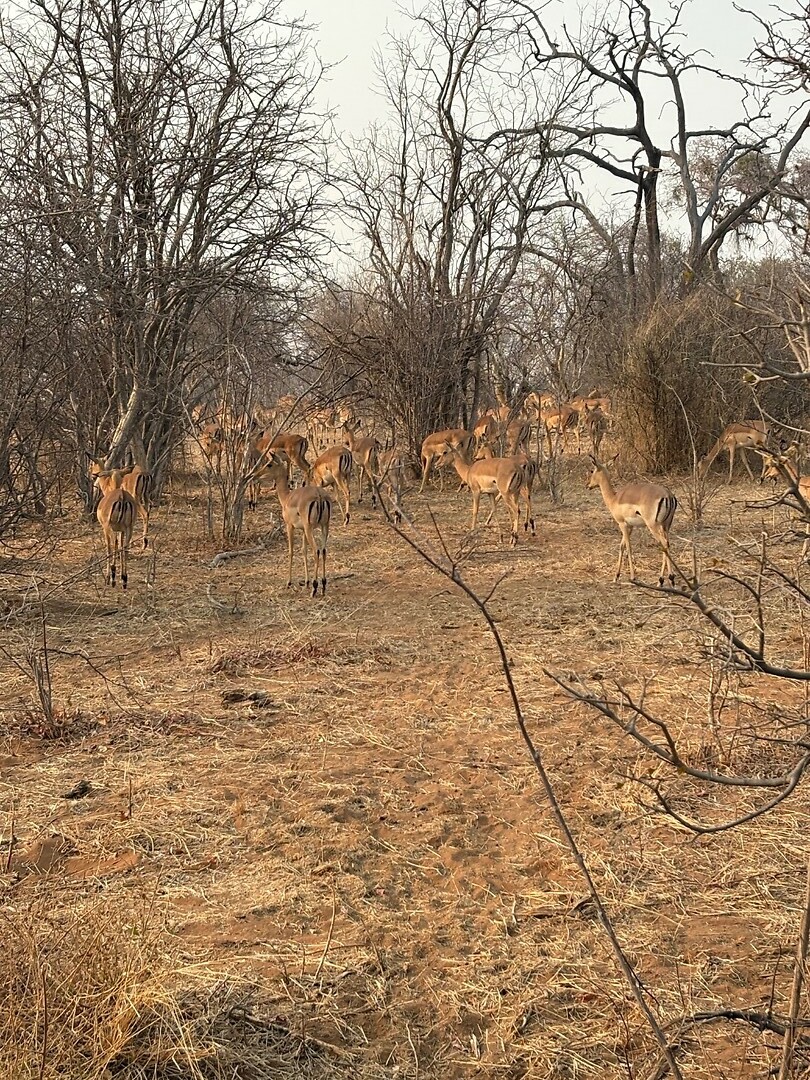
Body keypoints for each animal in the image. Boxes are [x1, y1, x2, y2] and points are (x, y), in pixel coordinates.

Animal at [256, 452, 332, 596]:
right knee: (324, 550)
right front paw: (306, 582)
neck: (287, 497)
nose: (257, 475)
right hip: (324, 526)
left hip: (310, 528)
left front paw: (289, 582)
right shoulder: (302, 530)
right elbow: (303, 550)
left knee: (316, 551)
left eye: (269, 464)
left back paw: (315, 588)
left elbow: (291, 551)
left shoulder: (290, 526)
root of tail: (319, 496)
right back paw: (323, 585)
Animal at [587, 455, 677, 586]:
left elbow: (628, 547)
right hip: (666, 526)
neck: (614, 498)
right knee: (667, 543)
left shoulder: (622, 524)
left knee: (664, 544)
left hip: (653, 526)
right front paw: (616, 576)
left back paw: (665, 579)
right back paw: (667, 580)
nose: (588, 485)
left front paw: (633, 577)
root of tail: (668, 495)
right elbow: (622, 546)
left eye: (592, 471)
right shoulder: (630, 527)